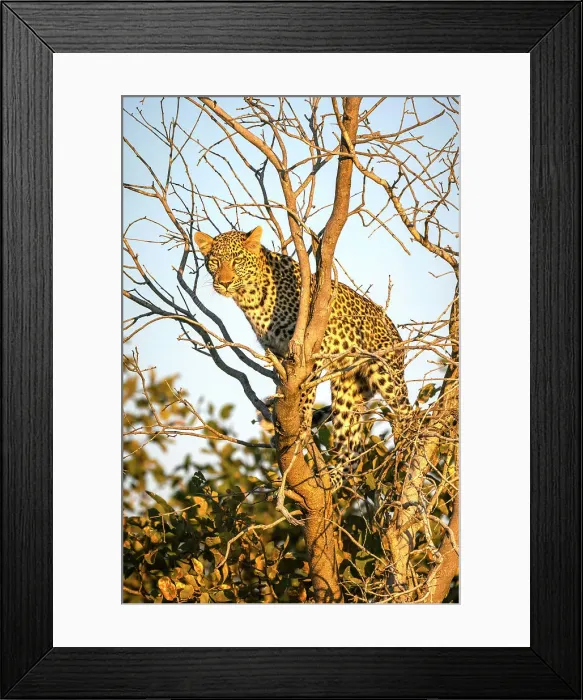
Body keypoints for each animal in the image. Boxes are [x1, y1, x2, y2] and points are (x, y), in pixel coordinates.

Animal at [195, 225, 411, 474]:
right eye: (216, 261)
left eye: (237, 260)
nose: (225, 282)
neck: (250, 298)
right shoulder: (277, 354)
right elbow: (285, 388)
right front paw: (282, 421)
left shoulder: (313, 349)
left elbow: (306, 392)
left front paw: (300, 425)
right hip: (347, 389)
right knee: (351, 448)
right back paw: (335, 477)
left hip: (386, 373)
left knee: (406, 412)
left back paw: (409, 449)